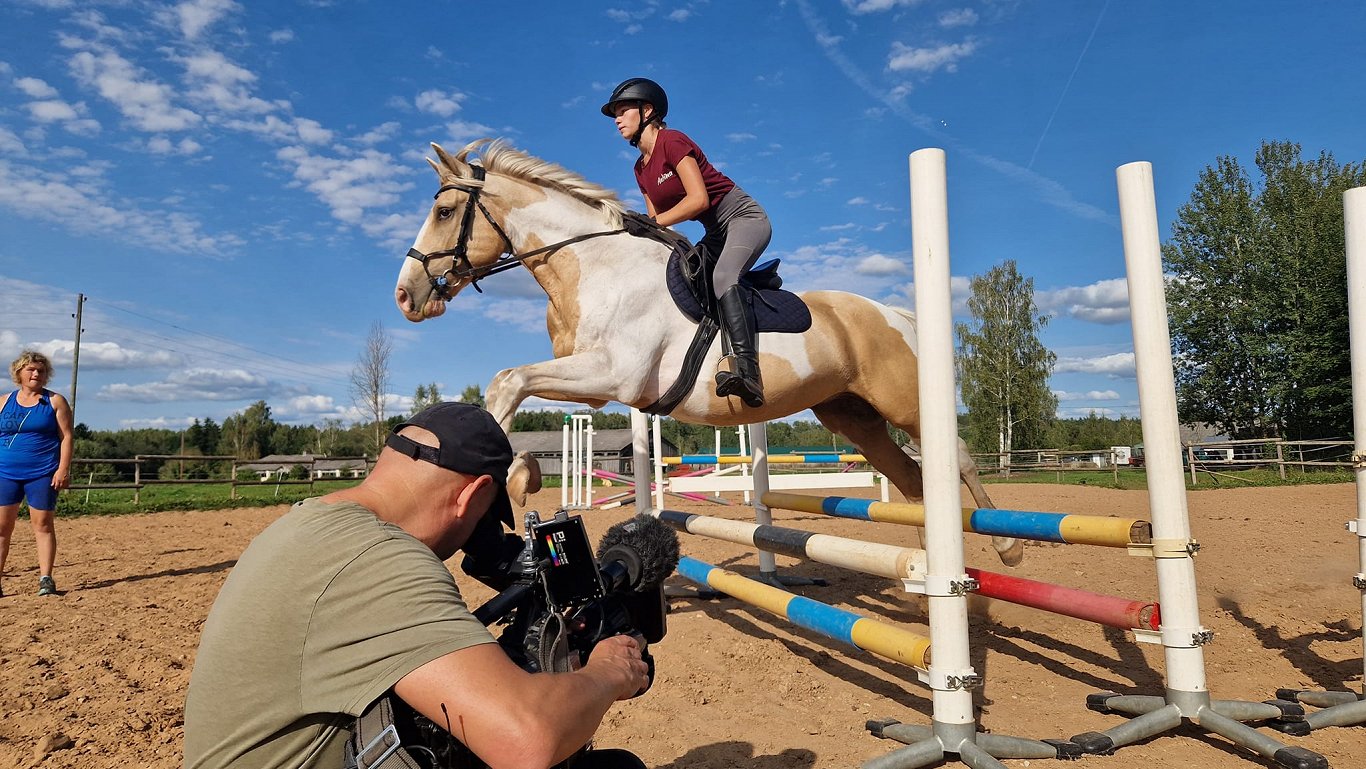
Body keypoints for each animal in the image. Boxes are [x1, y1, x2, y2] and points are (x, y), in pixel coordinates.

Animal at [390, 141, 1021, 568]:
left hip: (904, 401)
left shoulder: (611, 374)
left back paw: (1005, 551)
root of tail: (897, 314)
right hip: (851, 415)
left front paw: (512, 480)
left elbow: (507, 380)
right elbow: (511, 384)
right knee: (913, 481)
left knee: (957, 459)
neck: (592, 266)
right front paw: (520, 474)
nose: (406, 295)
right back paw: (926, 566)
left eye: (443, 213)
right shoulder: (594, 389)